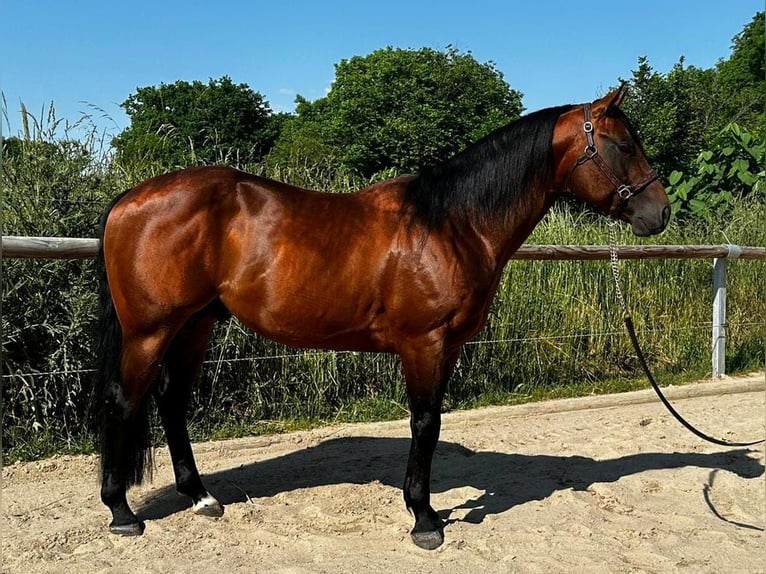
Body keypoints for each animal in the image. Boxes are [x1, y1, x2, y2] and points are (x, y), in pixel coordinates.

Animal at [95, 85, 669, 550]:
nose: (659, 213)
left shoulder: (448, 347)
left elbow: (432, 421)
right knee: (125, 402)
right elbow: (425, 423)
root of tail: (130, 199)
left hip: (195, 325)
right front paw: (425, 519)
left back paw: (201, 497)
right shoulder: (424, 343)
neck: (451, 225)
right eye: (624, 145)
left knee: (172, 402)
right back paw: (121, 512)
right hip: (150, 331)